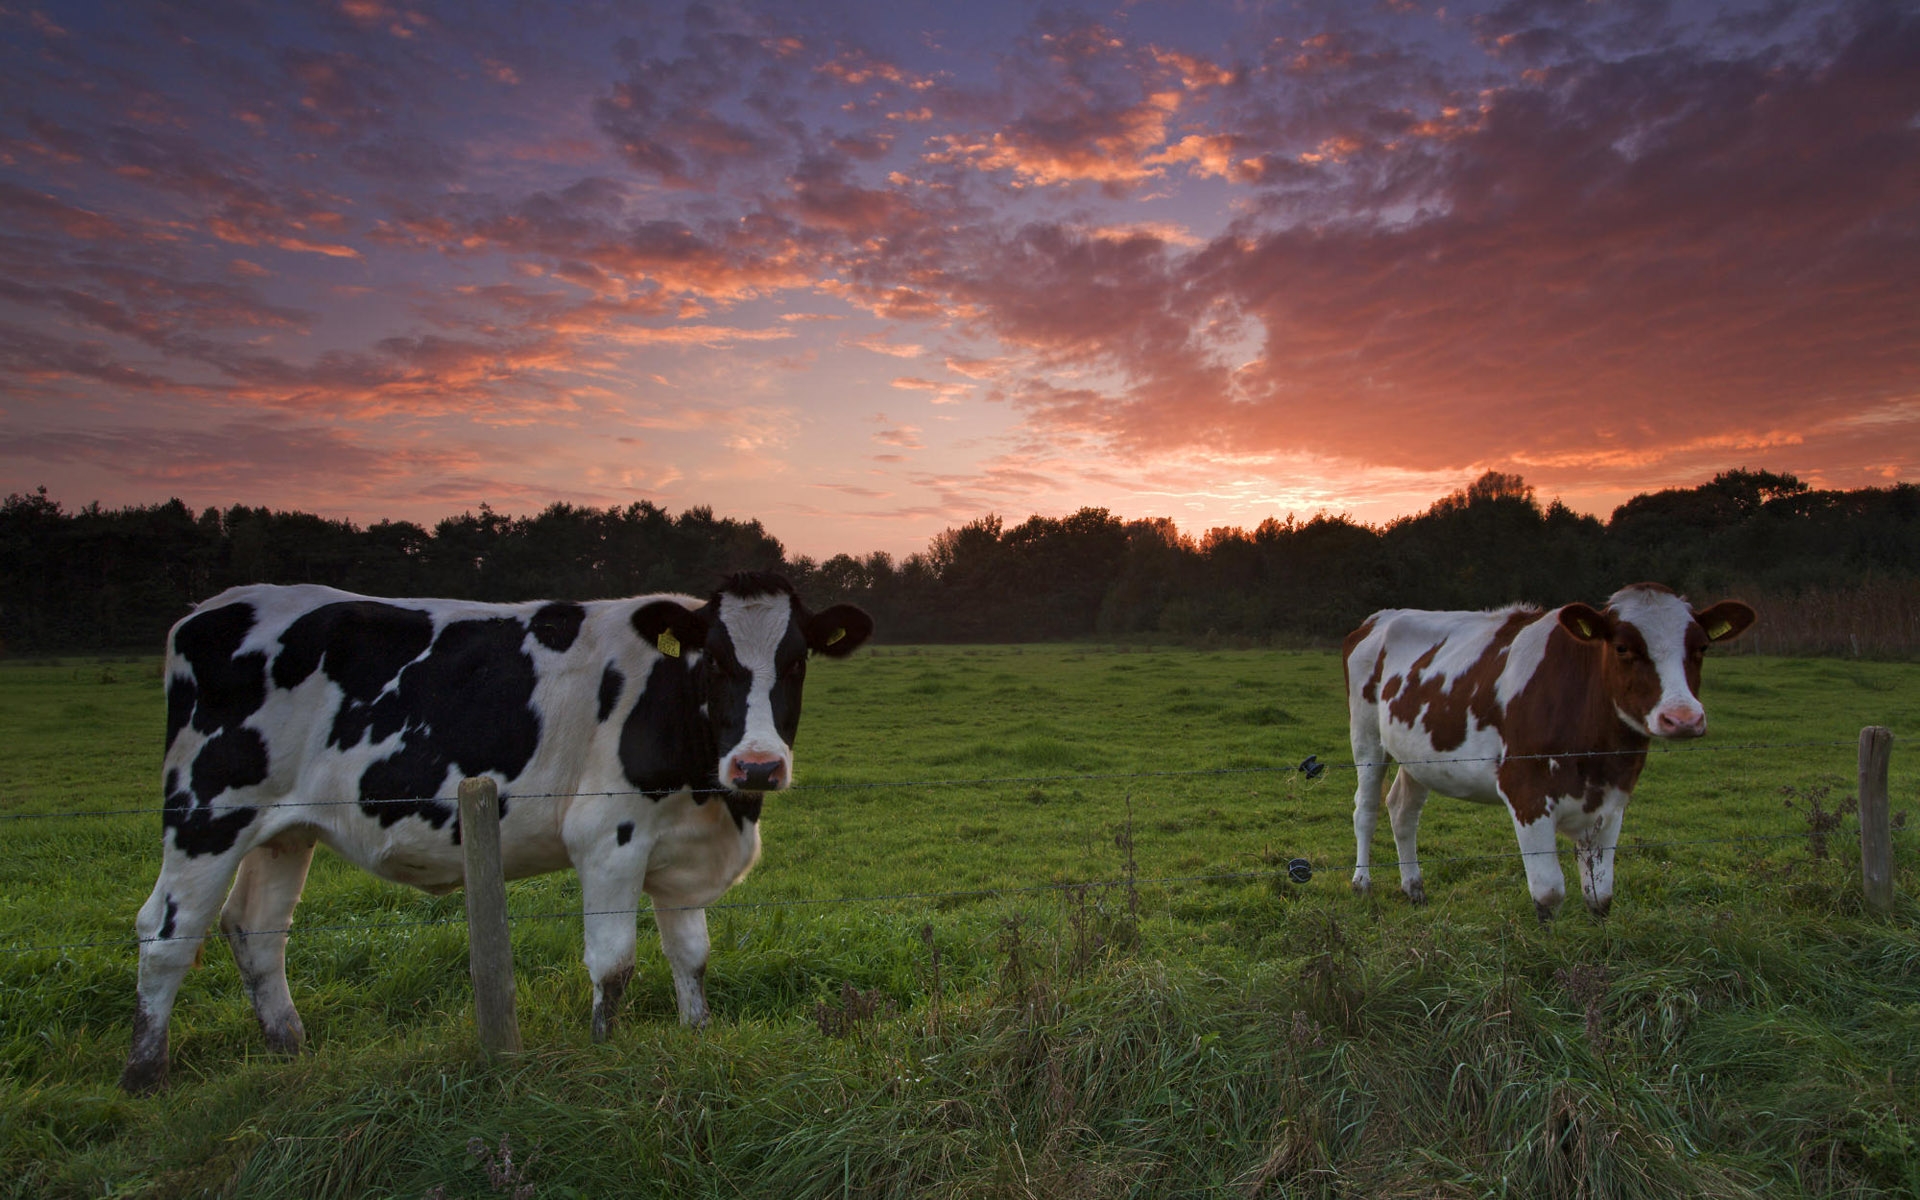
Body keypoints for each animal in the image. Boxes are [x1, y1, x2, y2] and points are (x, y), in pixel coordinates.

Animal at [120, 576, 871, 1090]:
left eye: (797, 661)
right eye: (714, 661)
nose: (758, 765)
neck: (713, 793)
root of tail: (209, 609)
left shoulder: (682, 850)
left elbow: (691, 956)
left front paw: (696, 1035)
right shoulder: (610, 836)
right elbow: (614, 964)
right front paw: (603, 1051)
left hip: (284, 830)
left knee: (255, 930)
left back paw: (290, 1051)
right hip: (207, 813)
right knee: (165, 933)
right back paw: (144, 1075)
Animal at [1344, 583, 1758, 921]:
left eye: (1701, 647)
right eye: (1622, 647)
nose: (1683, 717)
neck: (1596, 755)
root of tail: (1382, 616)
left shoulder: (1612, 801)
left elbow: (1600, 896)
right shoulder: (1525, 792)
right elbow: (1549, 894)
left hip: (1417, 754)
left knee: (1403, 811)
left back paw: (1414, 888)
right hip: (1367, 736)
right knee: (1366, 809)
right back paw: (1362, 883)